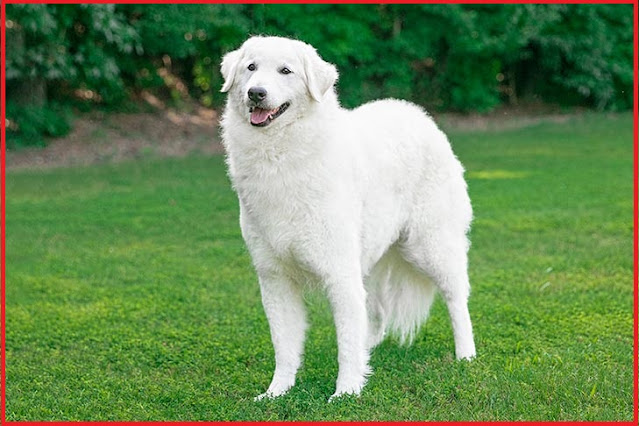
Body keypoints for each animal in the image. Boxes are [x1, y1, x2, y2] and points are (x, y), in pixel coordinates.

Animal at [220, 35, 476, 402]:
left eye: (286, 71)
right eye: (250, 68)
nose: (256, 93)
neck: (280, 156)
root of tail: (418, 114)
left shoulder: (339, 274)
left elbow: (344, 343)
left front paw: (346, 393)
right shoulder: (275, 279)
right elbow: (285, 346)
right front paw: (276, 392)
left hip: (429, 248)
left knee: (457, 299)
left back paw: (466, 355)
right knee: (375, 314)